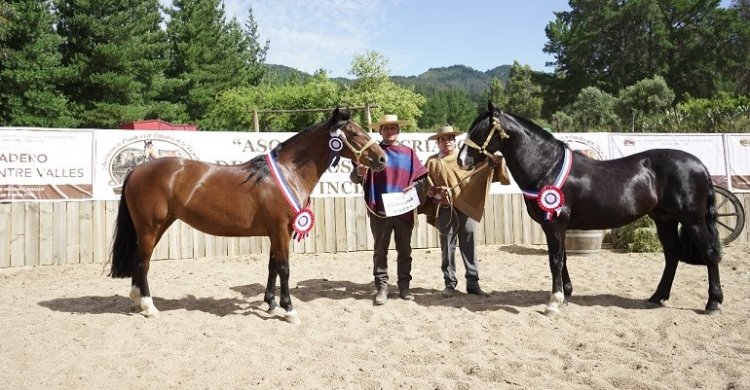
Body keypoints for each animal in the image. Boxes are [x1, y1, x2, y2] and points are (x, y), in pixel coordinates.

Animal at [111, 108, 388, 322]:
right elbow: (284, 268)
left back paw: (136, 300)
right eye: (354, 133)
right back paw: (149, 307)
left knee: (138, 261)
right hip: (150, 227)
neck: (287, 173)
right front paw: (289, 310)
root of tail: (137, 170)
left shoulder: (279, 231)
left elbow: (272, 265)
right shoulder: (280, 229)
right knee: (142, 263)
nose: (382, 158)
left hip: (157, 227)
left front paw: (271, 303)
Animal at [458, 102, 724, 316]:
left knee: (709, 253)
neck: (547, 166)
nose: (461, 160)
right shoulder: (555, 225)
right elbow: (562, 257)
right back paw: (657, 297)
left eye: (479, 130)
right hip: (664, 219)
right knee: (672, 254)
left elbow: (555, 259)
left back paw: (712, 303)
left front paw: (554, 302)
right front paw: (566, 292)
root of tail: (700, 165)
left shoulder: (555, 223)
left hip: (692, 221)